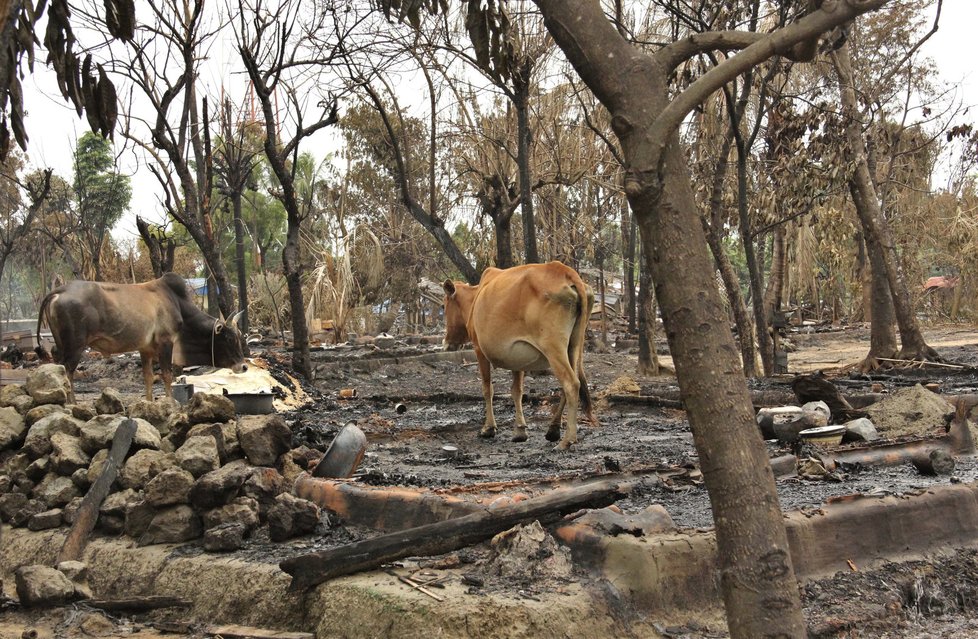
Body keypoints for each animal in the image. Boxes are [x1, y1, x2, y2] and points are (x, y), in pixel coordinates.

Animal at [36, 274, 248, 402]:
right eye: (230, 339)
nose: (244, 366)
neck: (177, 303)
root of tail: (60, 291)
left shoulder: (145, 349)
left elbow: (148, 377)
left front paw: (149, 403)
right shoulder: (166, 343)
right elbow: (167, 375)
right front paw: (171, 404)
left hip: (61, 344)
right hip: (75, 346)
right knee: (67, 372)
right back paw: (71, 403)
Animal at [442, 260, 596, 450]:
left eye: (444, 306)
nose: (446, 342)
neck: (474, 299)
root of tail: (565, 271)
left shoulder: (479, 350)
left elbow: (487, 389)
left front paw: (488, 428)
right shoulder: (519, 357)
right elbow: (517, 391)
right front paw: (520, 431)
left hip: (553, 347)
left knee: (571, 383)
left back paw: (567, 440)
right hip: (573, 346)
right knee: (570, 384)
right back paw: (553, 430)